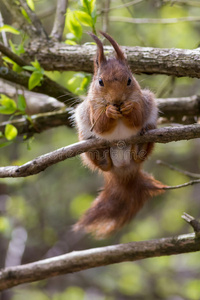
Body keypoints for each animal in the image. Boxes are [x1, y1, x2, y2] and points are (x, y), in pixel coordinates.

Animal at [73, 32, 166, 239]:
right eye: (100, 81)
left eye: (129, 80)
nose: (117, 101)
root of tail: (124, 172)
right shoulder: (92, 109)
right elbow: (101, 125)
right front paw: (109, 112)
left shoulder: (142, 101)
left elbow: (137, 118)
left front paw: (129, 108)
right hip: (85, 135)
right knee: (103, 164)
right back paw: (101, 155)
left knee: (140, 153)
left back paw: (141, 146)